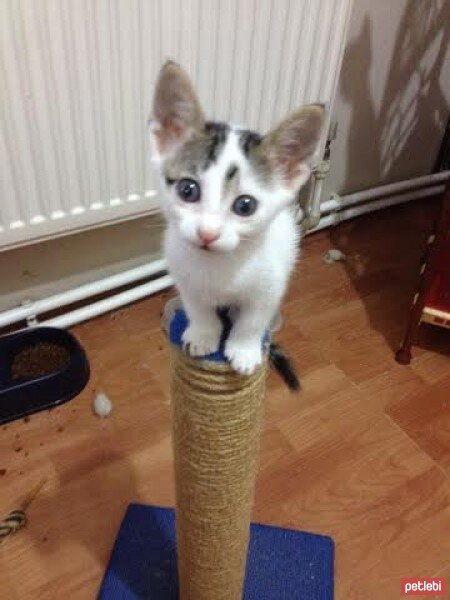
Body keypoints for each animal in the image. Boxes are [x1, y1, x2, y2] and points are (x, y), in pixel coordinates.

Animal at [150, 63, 324, 378]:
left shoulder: (271, 282)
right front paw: (203, 335)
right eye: (187, 190)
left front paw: (244, 350)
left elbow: (253, 318)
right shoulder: (185, 276)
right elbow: (198, 308)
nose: (207, 233)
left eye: (245, 206)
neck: (219, 265)